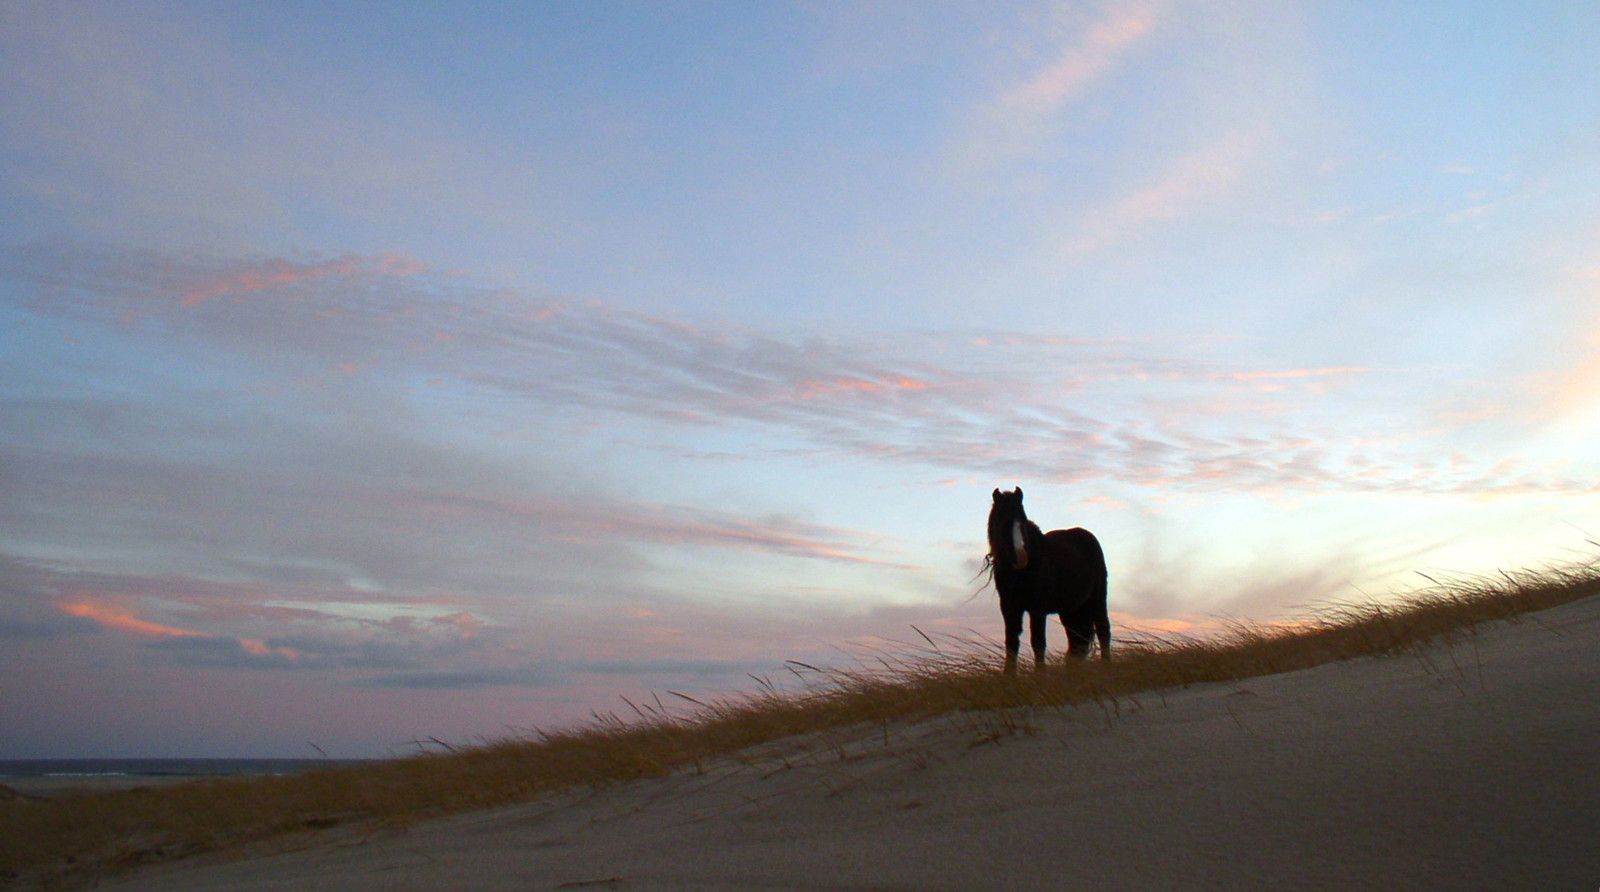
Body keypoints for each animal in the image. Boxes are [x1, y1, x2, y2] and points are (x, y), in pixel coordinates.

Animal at [979, 489, 1107, 671]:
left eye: (1022, 520)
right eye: (1002, 521)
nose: (1021, 558)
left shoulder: (1037, 608)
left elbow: (1038, 643)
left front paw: (1039, 673)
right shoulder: (1009, 607)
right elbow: (1011, 642)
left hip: (1097, 599)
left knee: (1104, 632)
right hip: (1070, 609)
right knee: (1076, 642)